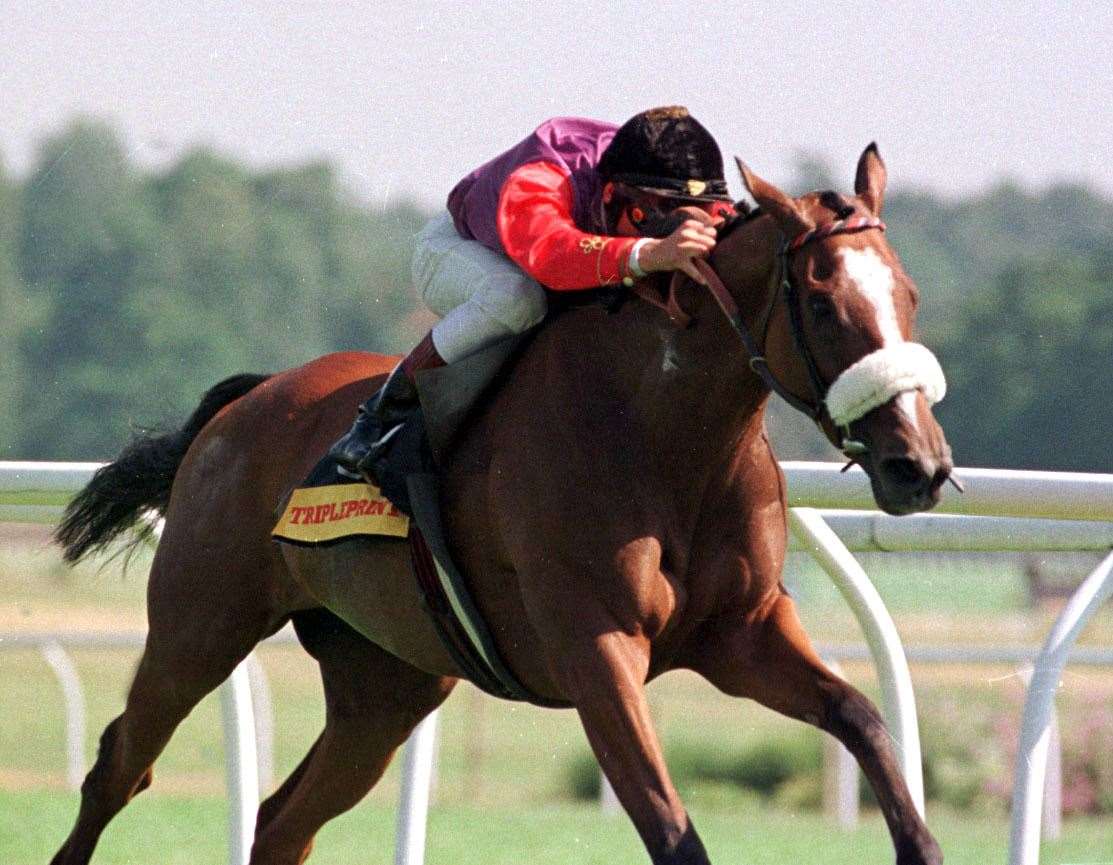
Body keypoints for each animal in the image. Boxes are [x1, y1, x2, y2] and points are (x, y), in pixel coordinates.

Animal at [52, 148, 952, 863]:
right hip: (199, 626)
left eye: (909, 294)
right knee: (120, 768)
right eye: (824, 303)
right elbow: (672, 832)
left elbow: (862, 717)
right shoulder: (596, 651)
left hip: (385, 684)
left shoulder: (743, 633)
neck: (660, 435)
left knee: (280, 821)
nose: (918, 464)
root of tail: (245, 404)